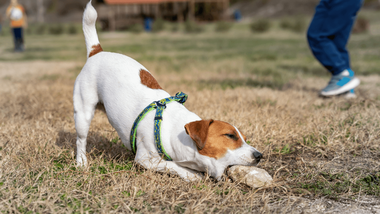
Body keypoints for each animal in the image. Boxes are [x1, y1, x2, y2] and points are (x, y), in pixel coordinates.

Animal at [73, 1, 262, 182]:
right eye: (230, 135)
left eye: (244, 138)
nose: (259, 155)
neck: (176, 132)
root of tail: (97, 51)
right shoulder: (146, 159)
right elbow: (172, 165)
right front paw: (192, 174)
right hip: (83, 113)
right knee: (81, 140)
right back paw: (81, 162)